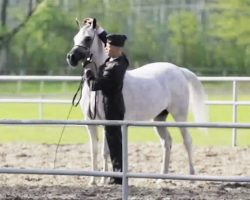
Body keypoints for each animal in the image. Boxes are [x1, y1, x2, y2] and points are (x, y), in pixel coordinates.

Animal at [66, 18, 207, 184]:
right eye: (75, 38)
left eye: (88, 38)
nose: (71, 57)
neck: (98, 84)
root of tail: (179, 70)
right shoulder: (91, 123)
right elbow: (95, 151)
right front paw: (95, 180)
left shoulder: (111, 122)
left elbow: (106, 151)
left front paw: (106, 179)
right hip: (159, 118)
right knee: (167, 142)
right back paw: (162, 178)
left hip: (180, 116)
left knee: (187, 141)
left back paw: (191, 176)